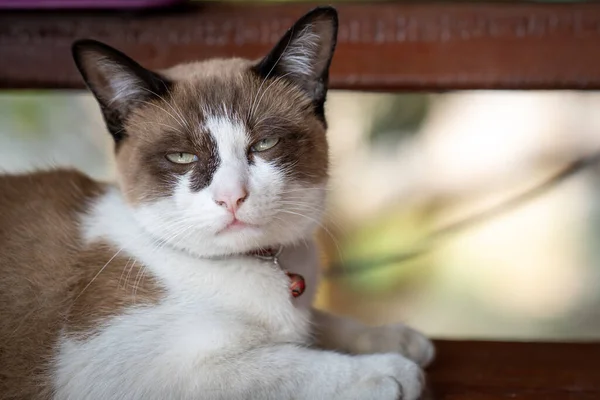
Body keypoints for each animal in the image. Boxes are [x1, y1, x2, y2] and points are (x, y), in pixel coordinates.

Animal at [0, 7, 432, 400]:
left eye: (265, 144)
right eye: (182, 157)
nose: (232, 197)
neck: (261, 264)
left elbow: (321, 325)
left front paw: (399, 339)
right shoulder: (133, 371)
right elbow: (283, 363)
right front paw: (389, 371)